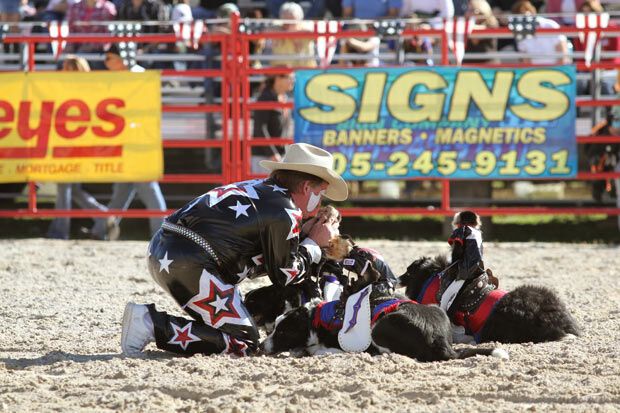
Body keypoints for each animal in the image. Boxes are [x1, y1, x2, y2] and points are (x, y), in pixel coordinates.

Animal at [262, 284, 508, 360]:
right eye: (273, 329)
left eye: (282, 333)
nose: (259, 346)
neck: (317, 318)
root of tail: (441, 341)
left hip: (380, 327)